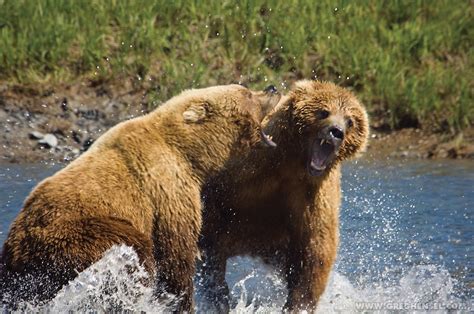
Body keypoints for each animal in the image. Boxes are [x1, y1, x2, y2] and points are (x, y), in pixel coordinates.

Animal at [0, 84, 282, 312]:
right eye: (246, 92)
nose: (272, 88)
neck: (191, 154)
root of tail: (17, 245)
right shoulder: (167, 188)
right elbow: (176, 253)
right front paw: (180, 300)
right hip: (72, 233)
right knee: (135, 247)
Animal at [200, 80, 370, 312]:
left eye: (350, 120)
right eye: (324, 112)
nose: (336, 132)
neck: (294, 163)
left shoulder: (313, 195)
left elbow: (316, 253)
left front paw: (297, 304)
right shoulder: (244, 172)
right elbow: (210, 228)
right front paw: (220, 294)